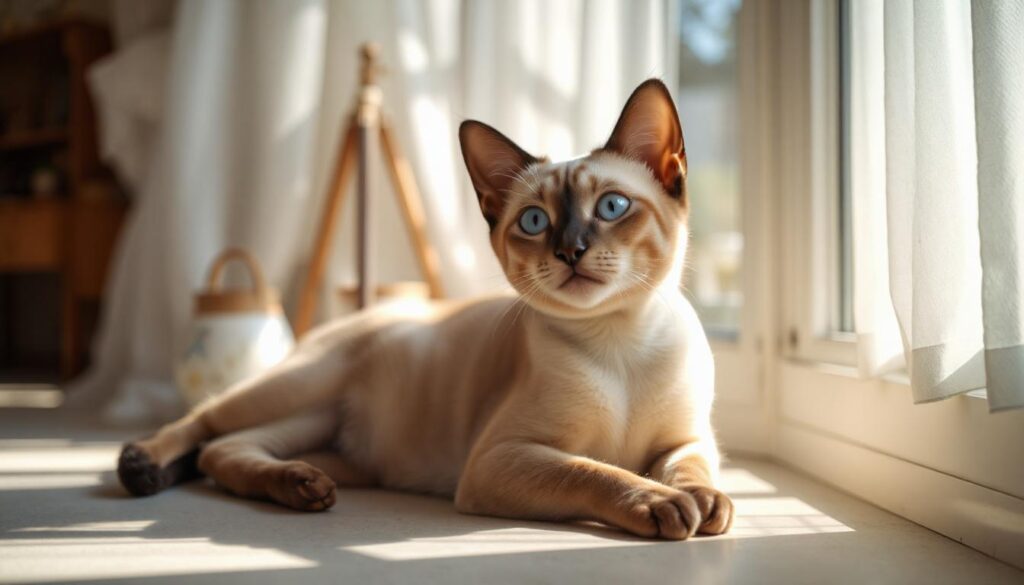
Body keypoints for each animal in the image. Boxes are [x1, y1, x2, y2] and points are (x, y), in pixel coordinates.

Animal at [116, 77, 733, 540]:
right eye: (535, 221)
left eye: (611, 207)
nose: (570, 250)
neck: (620, 339)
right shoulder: (502, 457)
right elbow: (597, 471)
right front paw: (662, 503)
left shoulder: (685, 439)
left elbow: (691, 470)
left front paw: (705, 501)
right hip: (297, 385)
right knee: (206, 424)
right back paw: (142, 466)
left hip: (340, 448)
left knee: (224, 451)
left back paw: (300, 485)